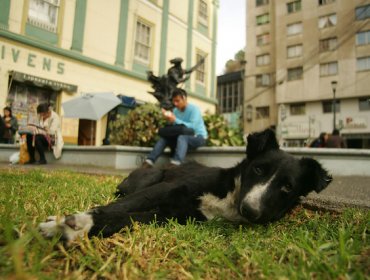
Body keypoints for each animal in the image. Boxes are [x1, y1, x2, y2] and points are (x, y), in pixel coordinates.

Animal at [39, 128, 332, 242]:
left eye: (287, 188)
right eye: (259, 169)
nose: (251, 210)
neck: (228, 197)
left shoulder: (170, 215)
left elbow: (125, 218)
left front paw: (82, 227)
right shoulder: (162, 190)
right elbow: (119, 207)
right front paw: (70, 222)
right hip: (151, 177)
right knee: (122, 194)